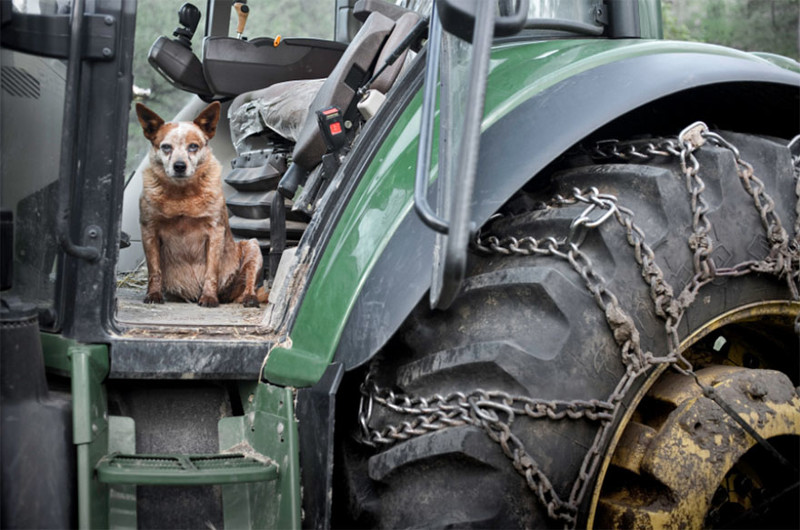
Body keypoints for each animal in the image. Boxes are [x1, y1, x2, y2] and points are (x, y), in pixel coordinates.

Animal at [135, 100, 266, 306]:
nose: (179, 166)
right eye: (166, 147)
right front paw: (154, 295)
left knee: (250, 283)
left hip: (253, 247)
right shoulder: (149, 230)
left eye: (193, 146)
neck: (182, 195)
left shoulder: (215, 232)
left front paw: (209, 297)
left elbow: (211, 271)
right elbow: (154, 270)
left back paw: (249, 298)